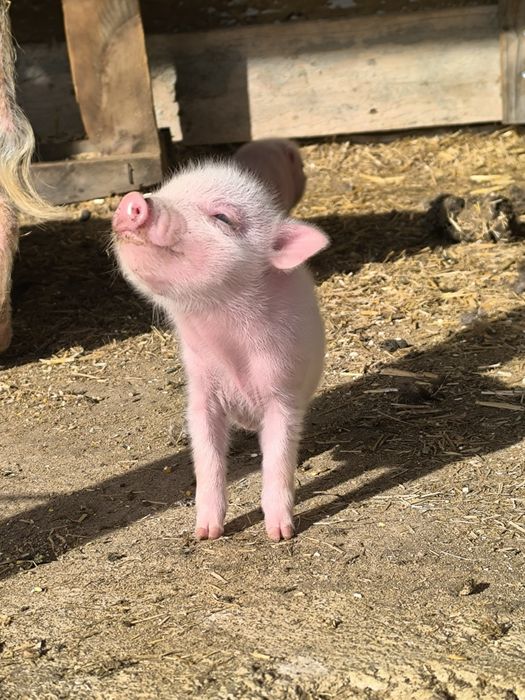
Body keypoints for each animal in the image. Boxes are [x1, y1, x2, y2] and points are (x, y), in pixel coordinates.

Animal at [112, 161, 329, 541]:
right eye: (164, 189)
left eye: (223, 217)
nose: (133, 200)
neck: (229, 349)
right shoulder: (201, 392)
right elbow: (208, 459)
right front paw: (205, 533)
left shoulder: (283, 392)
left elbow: (278, 459)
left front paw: (280, 534)